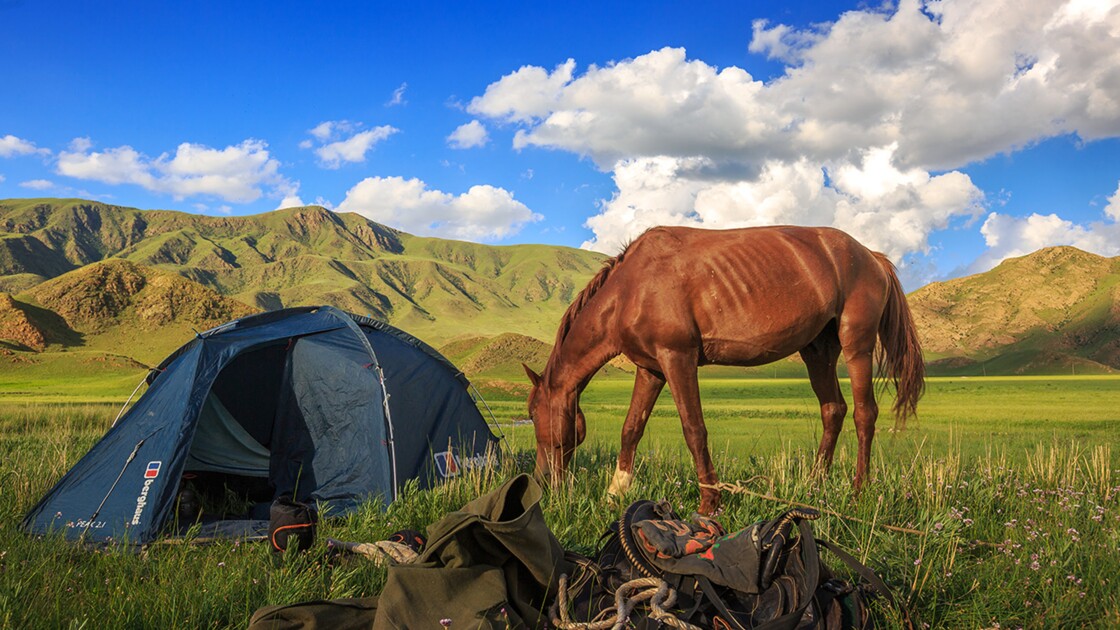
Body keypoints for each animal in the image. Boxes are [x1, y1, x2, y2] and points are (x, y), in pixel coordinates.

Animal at [519, 223, 922, 513]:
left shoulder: (677, 358)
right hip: (817, 351)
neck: (632, 288)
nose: (542, 483)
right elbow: (631, 428)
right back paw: (814, 484)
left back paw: (858, 491)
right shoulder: (651, 369)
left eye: (536, 415)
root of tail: (871, 256)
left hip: (857, 345)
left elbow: (694, 430)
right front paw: (616, 492)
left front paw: (710, 502)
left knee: (864, 414)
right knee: (833, 410)